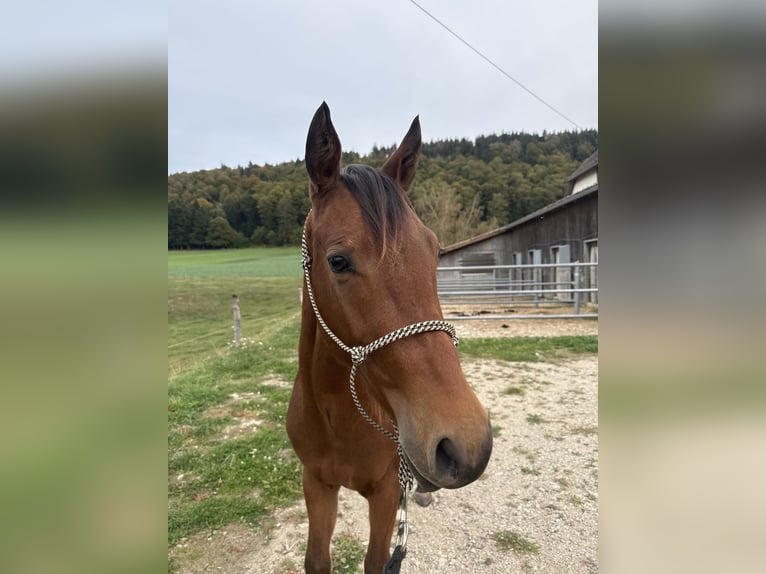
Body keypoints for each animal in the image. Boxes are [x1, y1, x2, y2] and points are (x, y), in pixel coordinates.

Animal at [286, 102, 493, 574]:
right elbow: (316, 559)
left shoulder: (384, 494)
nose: (467, 444)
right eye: (338, 261)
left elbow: (378, 560)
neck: (337, 419)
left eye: (434, 250)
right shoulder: (316, 484)